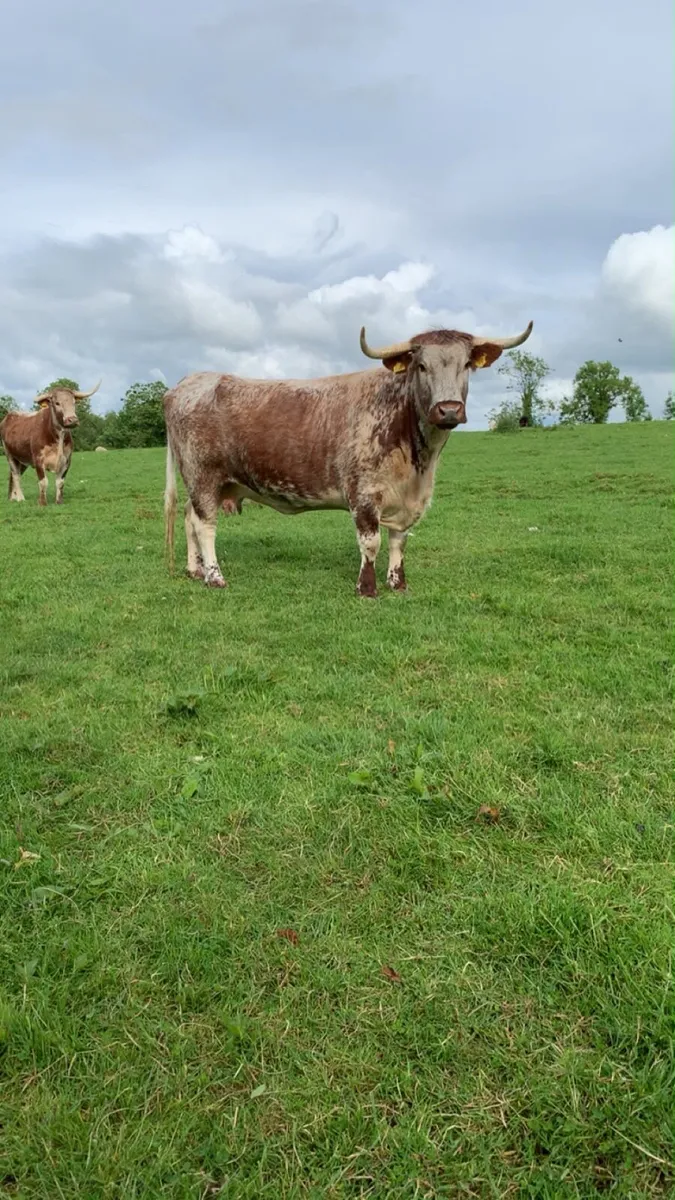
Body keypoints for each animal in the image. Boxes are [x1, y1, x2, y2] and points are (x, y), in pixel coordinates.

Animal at [163, 321, 533, 597]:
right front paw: (367, 589)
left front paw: (398, 583)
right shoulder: (364, 494)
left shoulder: (408, 502)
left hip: (207, 483)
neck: (418, 464)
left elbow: (399, 542)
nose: (449, 410)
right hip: (203, 476)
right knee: (205, 525)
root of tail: (185, 384)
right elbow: (371, 543)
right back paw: (214, 576)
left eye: (466, 365)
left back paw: (194, 569)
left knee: (189, 518)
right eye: (421, 366)